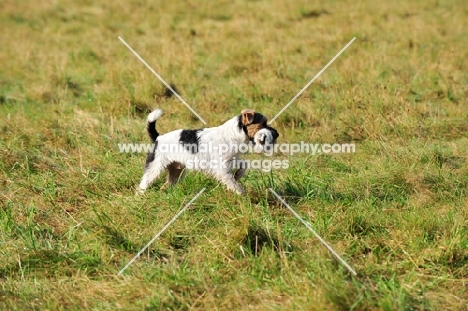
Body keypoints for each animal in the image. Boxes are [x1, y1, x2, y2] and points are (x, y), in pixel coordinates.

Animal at [137, 108, 280, 194]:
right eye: (263, 123)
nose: (277, 134)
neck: (232, 135)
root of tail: (158, 138)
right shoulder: (222, 168)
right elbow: (233, 183)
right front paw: (241, 194)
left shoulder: (231, 159)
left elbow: (244, 164)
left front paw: (239, 175)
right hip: (154, 167)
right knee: (143, 183)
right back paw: (140, 196)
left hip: (177, 170)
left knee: (166, 184)